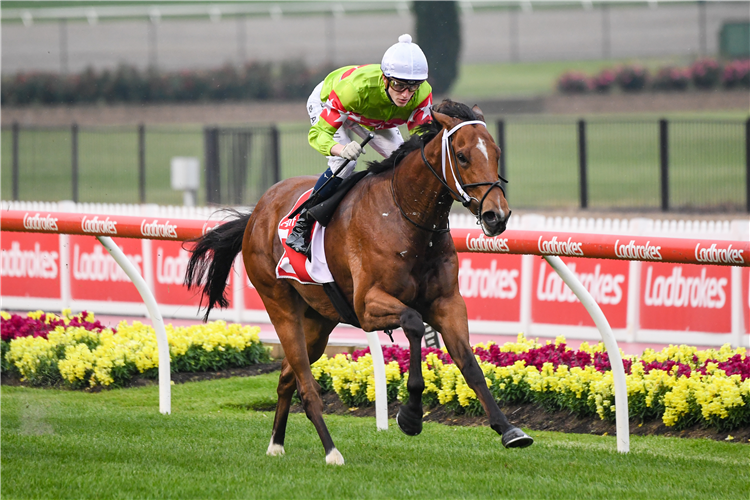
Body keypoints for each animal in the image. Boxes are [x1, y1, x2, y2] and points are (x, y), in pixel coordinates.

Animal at [186, 99, 536, 466]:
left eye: (496, 153)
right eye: (462, 155)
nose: (497, 216)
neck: (405, 217)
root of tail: (256, 213)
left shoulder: (447, 302)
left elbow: (469, 363)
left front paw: (508, 429)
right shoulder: (367, 306)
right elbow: (413, 322)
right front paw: (410, 415)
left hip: (318, 321)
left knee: (287, 377)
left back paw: (276, 443)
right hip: (280, 305)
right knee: (306, 385)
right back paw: (331, 451)